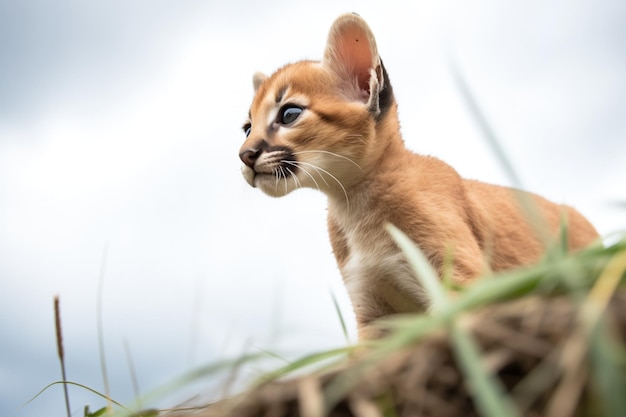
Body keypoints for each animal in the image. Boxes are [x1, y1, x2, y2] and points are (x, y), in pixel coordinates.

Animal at [236, 13, 596, 338]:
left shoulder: (462, 281)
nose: (244, 155)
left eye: (289, 114)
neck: (352, 202)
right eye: (247, 128)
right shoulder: (372, 311)